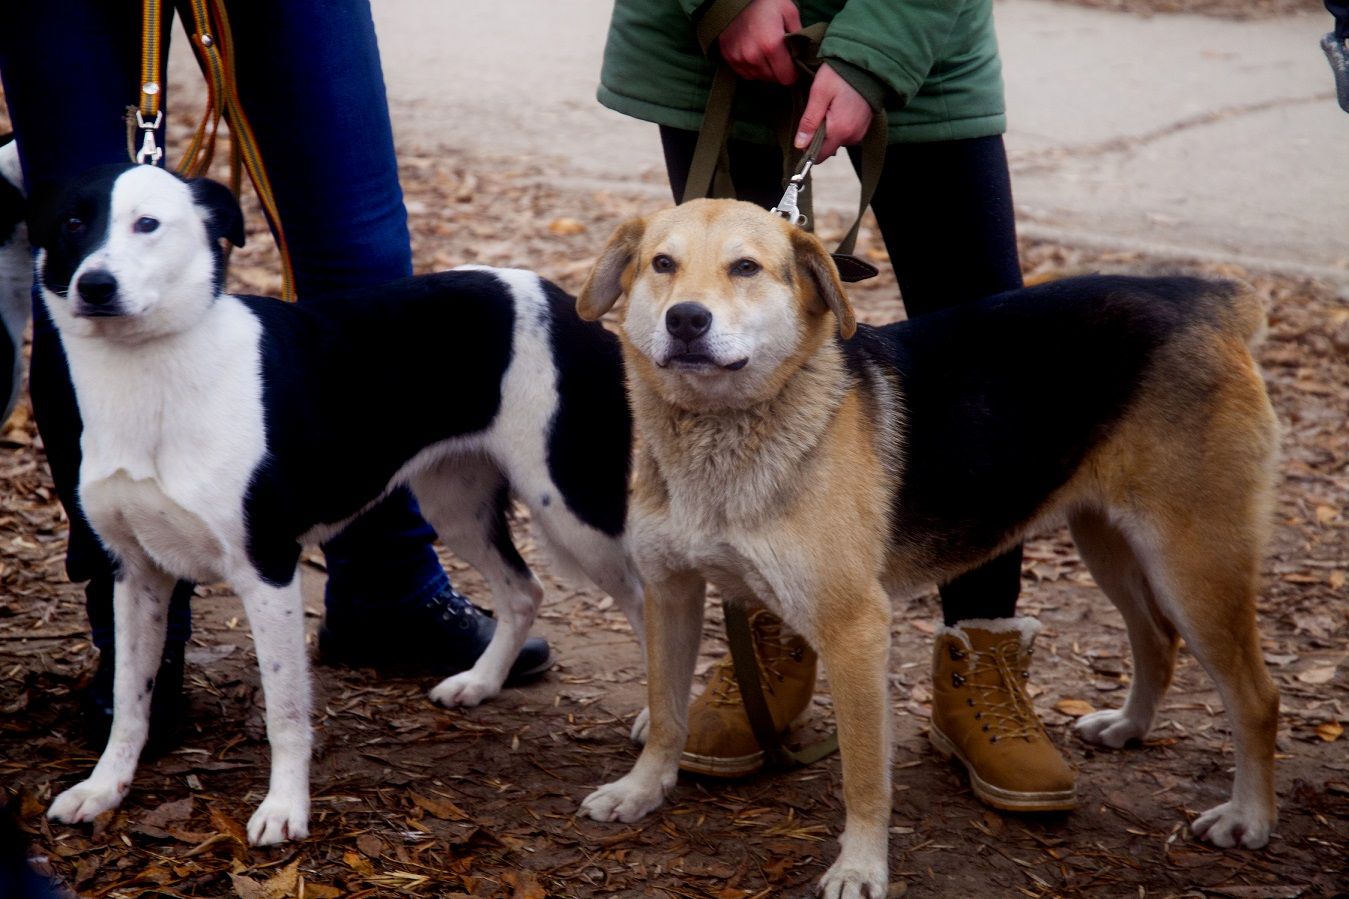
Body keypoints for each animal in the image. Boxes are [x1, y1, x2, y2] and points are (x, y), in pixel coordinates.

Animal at [32, 164, 642, 842]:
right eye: (72, 223)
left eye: (148, 224)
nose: (96, 285)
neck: (152, 370)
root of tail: (565, 301)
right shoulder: (136, 575)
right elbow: (129, 702)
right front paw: (103, 789)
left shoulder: (268, 570)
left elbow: (285, 712)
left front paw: (284, 809)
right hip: (455, 503)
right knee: (523, 591)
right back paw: (481, 682)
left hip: (576, 508)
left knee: (650, 605)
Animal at [574, 199, 1278, 890]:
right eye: (662, 264)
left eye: (745, 267)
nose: (686, 319)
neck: (723, 431)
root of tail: (1202, 296)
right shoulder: (670, 592)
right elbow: (665, 712)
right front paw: (642, 789)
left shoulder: (856, 629)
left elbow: (863, 773)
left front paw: (861, 867)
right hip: (1108, 541)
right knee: (1156, 639)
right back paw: (1128, 727)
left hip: (1193, 566)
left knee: (1255, 697)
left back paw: (1248, 817)